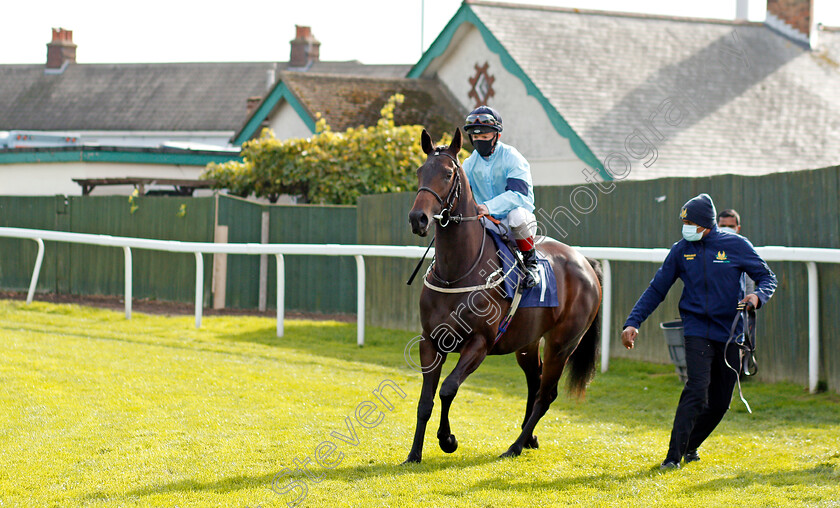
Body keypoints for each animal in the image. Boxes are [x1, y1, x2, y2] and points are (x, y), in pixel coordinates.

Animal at [404, 128, 600, 464]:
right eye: (420, 171)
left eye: (447, 173)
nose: (419, 218)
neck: (457, 271)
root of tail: (585, 262)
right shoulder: (431, 341)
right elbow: (425, 400)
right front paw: (414, 453)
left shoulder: (479, 343)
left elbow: (448, 388)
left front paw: (448, 439)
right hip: (528, 343)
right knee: (535, 383)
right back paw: (528, 438)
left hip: (562, 344)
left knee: (546, 394)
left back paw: (515, 446)